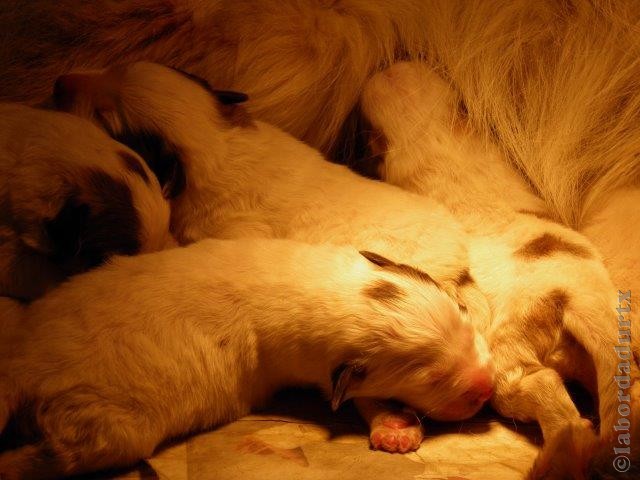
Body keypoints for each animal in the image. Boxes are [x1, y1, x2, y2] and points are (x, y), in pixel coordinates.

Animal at [0, 238, 490, 478]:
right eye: (432, 378)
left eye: (464, 315)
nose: (487, 386)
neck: (325, 291)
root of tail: (19, 365)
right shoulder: (321, 368)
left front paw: (396, 427)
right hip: (106, 424)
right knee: (60, 454)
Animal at [53, 61, 496, 454]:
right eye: (113, 68)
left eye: (104, 116)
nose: (59, 82)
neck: (214, 142)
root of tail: (458, 265)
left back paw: (394, 428)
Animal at [360, 61, 640, 480]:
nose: (388, 63)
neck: (433, 131)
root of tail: (583, 296)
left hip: (508, 357)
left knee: (547, 391)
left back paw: (558, 454)